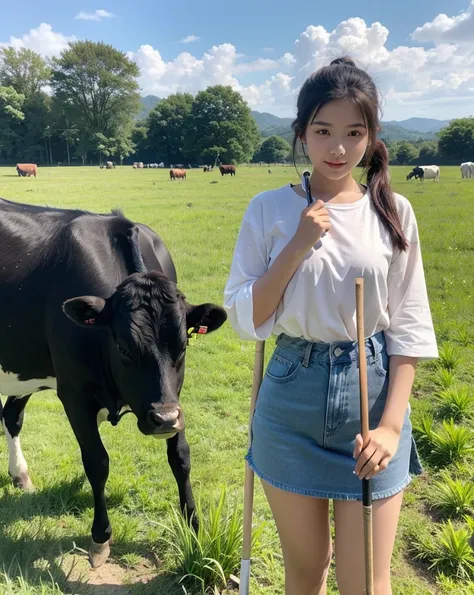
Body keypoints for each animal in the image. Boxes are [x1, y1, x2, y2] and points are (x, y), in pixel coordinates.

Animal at [0, 197, 227, 568]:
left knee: (11, 416)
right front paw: (100, 537)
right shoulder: (74, 394)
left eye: (184, 345)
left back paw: (20, 475)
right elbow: (97, 461)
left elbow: (180, 454)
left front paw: (192, 523)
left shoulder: (172, 396)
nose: (163, 419)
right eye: (123, 347)